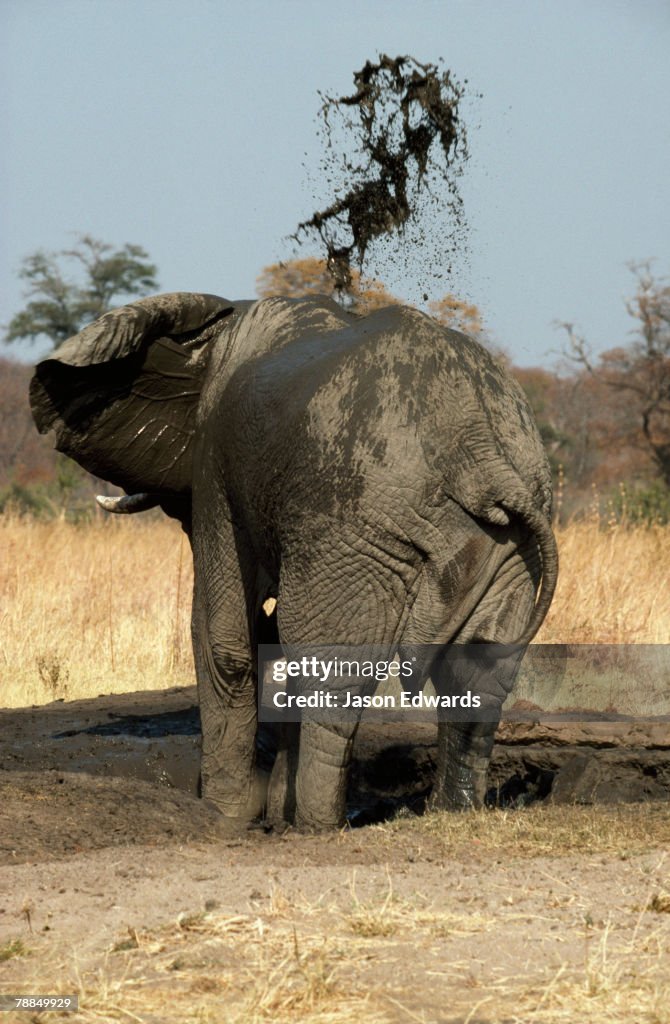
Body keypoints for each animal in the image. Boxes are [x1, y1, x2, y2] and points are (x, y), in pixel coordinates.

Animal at [28, 288, 557, 831]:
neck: (222, 321)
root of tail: (481, 450)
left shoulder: (216, 461)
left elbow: (224, 636)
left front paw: (225, 813)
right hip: (510, 544)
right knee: (476, 671)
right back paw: (451, 813)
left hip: (354, 525)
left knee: (332, 666)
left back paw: (315, 826)